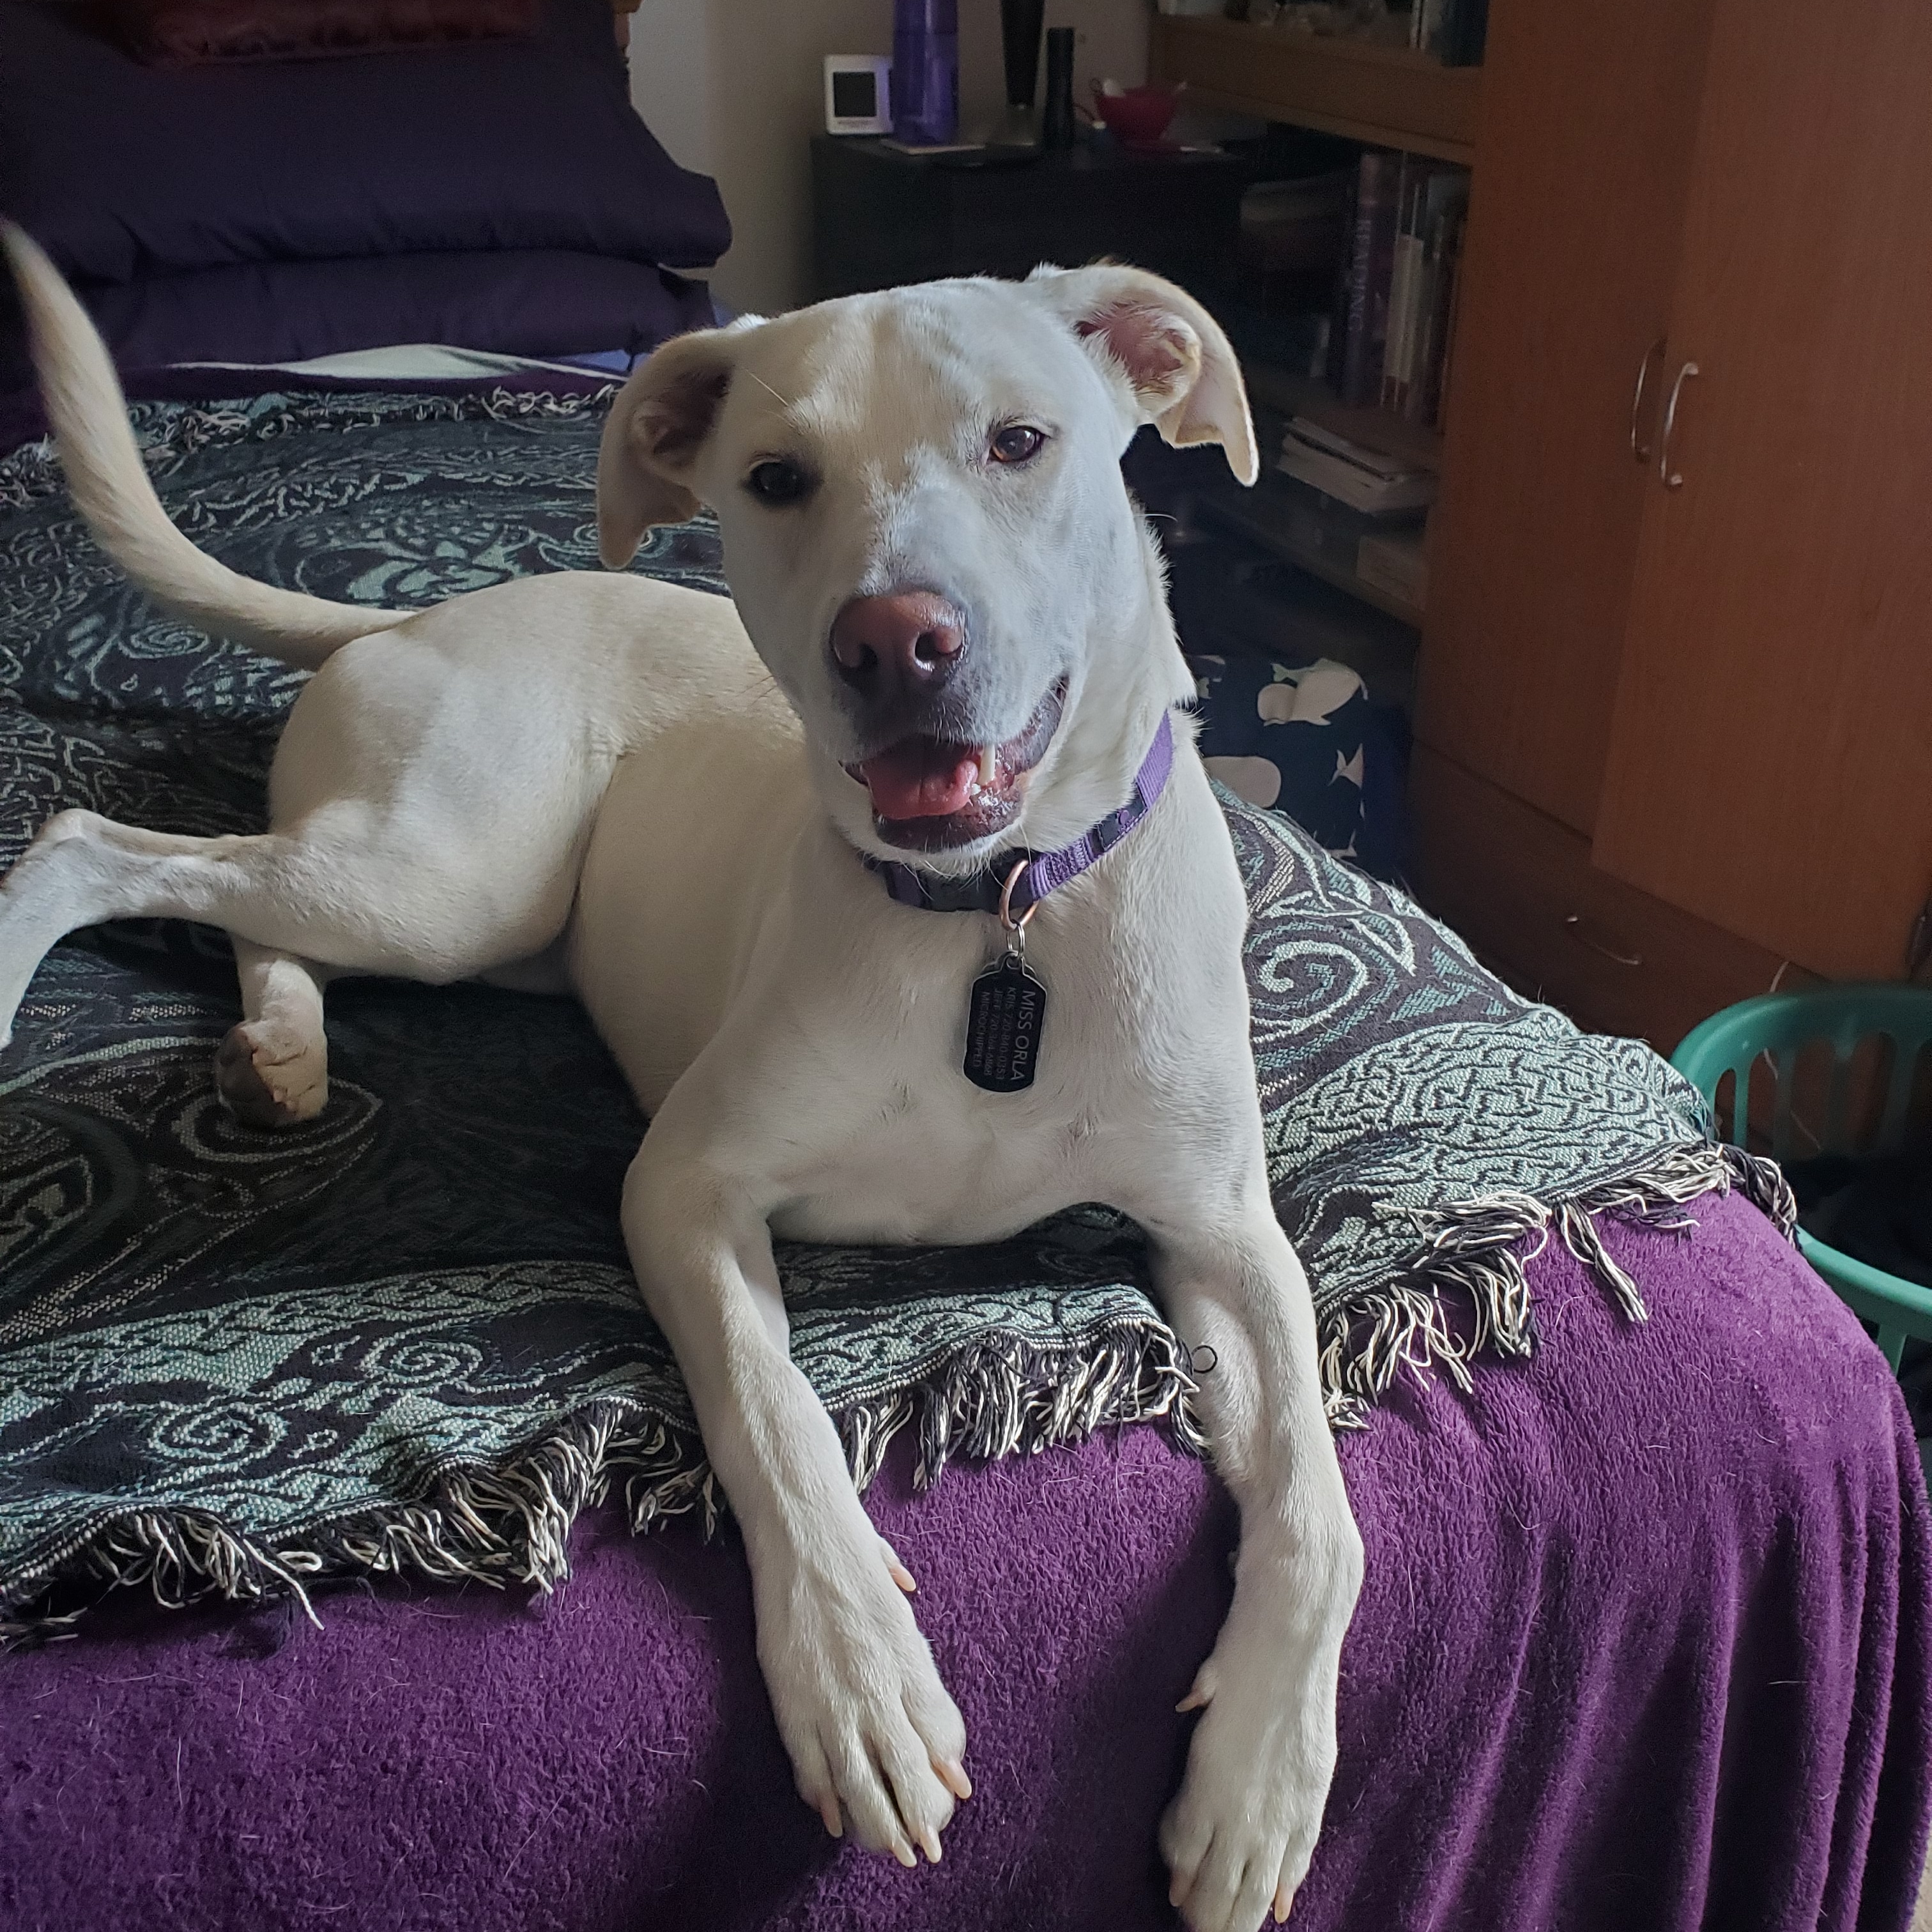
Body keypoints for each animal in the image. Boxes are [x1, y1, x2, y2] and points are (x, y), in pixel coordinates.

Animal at [0, 226, 1360, 1932]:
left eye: (1021, 442)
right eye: (776, 477)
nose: (895, 641)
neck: (995, 920)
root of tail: (399, 622)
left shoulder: (1228, 1235)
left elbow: (1317, 1500)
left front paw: (1260, 1779)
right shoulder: (688, 1189)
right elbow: (775, 1415)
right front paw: (861, 1682)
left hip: (457, 909)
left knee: (250, 907)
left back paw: (286, 1051)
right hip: (450, 877)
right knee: (100, 849)